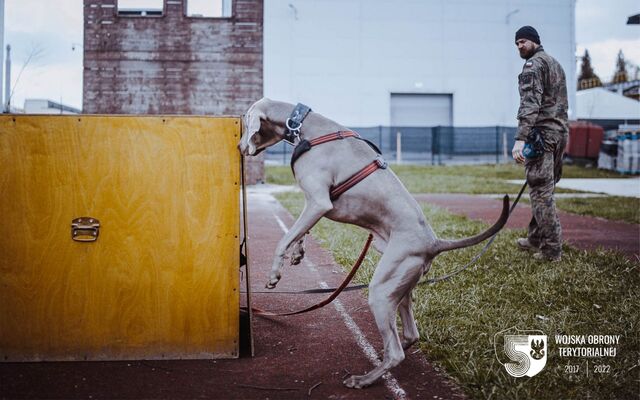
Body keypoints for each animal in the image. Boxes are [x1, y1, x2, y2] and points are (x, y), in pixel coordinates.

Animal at [238, 98, 508, 390]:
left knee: (396, 352)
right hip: (400, 285)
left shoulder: (319, 201)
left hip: (381, 289)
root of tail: (434, 242)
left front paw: (274, 274)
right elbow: (298, 231)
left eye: (245, 123)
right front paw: (298, 252)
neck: (303, 125)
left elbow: (284, 237)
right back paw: (380, 358)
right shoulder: (314, 204)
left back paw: (364, 379)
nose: (240, 147)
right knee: (410, 335)